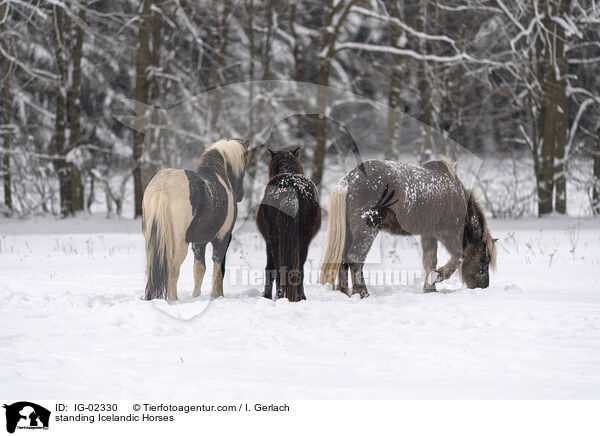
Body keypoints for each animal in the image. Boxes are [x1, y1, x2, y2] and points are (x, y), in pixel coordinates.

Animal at [142, 139, 248, 300]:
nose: (241, 194)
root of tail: (162, 187)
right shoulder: (223, 238)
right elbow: (218, 269)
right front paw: (217, 296)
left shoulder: (199, 242)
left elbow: (199, 270)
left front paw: (195, 297)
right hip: (179, 244)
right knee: (173, 268)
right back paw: (174, 300)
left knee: (151, 268)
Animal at [258, 148, 324, 302]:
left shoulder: (268, 242)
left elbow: (269, 269)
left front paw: (266, 296)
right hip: (304, 240)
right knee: (299, 268)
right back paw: (299, 297)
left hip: (275, 241)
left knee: (279, 268)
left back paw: (279, 296)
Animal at [318, 158, 496, 298]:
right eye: (485, 259)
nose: (483, 286)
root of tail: (348, 181)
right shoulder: (448, 233)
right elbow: (457, 258)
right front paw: (437, 277)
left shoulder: (429, 235)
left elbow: (430, 260)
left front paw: (430, 289)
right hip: (366, 231)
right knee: (355, 258)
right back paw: (362, 293)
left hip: (348, 233)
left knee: (343, 260)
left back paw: (344, 293)